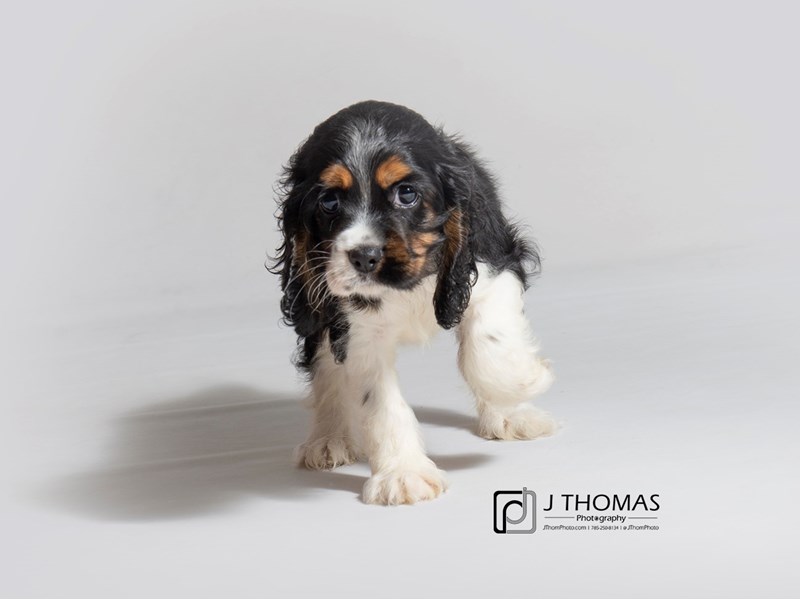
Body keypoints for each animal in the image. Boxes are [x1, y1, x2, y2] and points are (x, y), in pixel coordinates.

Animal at [272, 101, 552, 504]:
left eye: (406, 194)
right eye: (329, 201)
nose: (364, 257)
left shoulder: (494, 264)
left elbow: (486, 348)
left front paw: (523, 382)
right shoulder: (355, 328)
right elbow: (380, 401)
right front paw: (403, 475)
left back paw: (512, 417)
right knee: (325, 367)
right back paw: (328, 440)